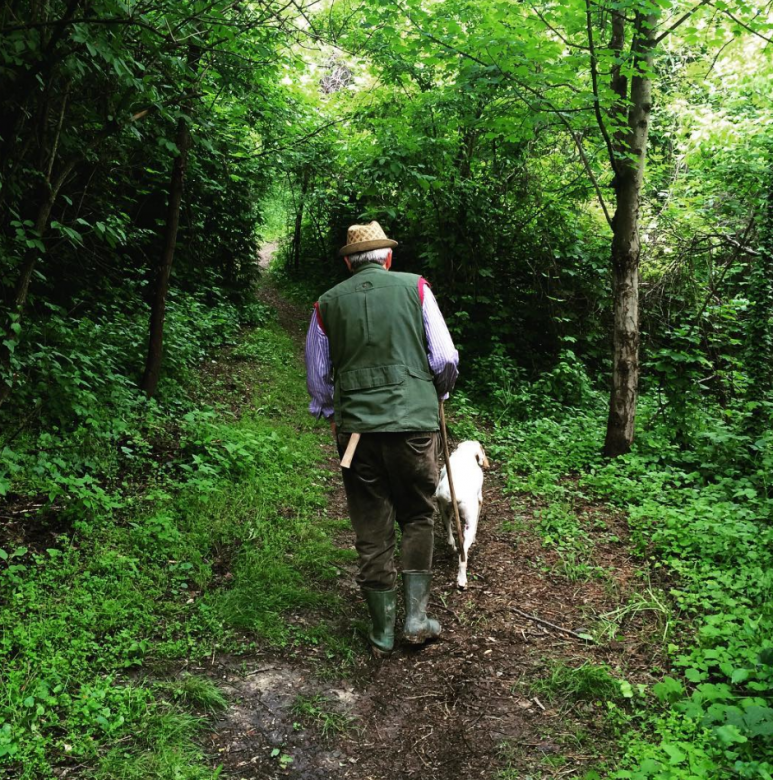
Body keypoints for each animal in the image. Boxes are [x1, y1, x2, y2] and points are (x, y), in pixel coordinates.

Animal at [434, 442, 488, 588]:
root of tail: (454, 495)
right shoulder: (480, 500)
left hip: (444, 511)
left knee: (449, 537)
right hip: (468, 523)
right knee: (463, 557)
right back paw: (462, 581)